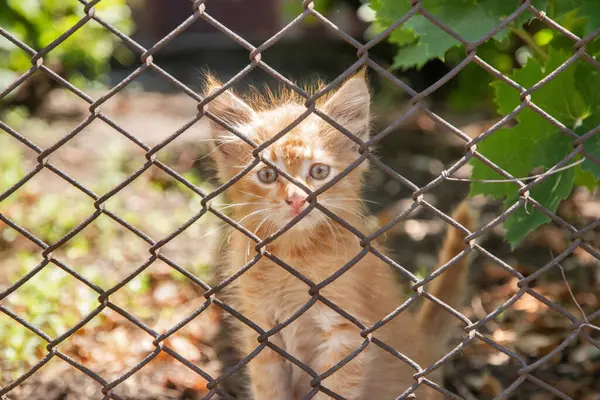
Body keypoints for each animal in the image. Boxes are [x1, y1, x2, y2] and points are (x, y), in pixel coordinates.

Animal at [204, 72, 476, 400]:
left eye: (319, 171)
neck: (294, 253)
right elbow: (269, 388)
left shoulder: (346, 335)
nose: (297, 199)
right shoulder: (262, 333)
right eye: (267, 175)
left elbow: (333, 390)